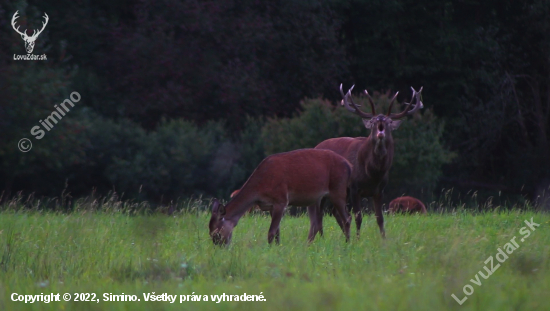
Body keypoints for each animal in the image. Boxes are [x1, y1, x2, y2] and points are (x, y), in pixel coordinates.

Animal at [209, 149, 352, 246]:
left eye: (217, 233)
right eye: (209, 232)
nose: (220, 247)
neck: (260, 188)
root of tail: (349, 165)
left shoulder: (281, 200)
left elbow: (271, 231)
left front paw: (269, 249)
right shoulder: (271, 206)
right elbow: (277, 231)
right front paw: (277, 247)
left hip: (338, 190)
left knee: (347, 218)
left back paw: (347, 243)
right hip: (317, 199)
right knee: (316, 223)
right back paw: (307, 246)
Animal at [316, 85, 424, 239]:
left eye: (389, 122)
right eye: (372, 121)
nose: (380, 119)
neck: (372, 174)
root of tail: (316, 146)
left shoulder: (379, 190)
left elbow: (380, 218)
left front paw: (383, 239)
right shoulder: (354, 187)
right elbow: (358, 217)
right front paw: (358, 239)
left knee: (335, 212)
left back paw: (345, 235)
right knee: (320, 212)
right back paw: (322, 237)